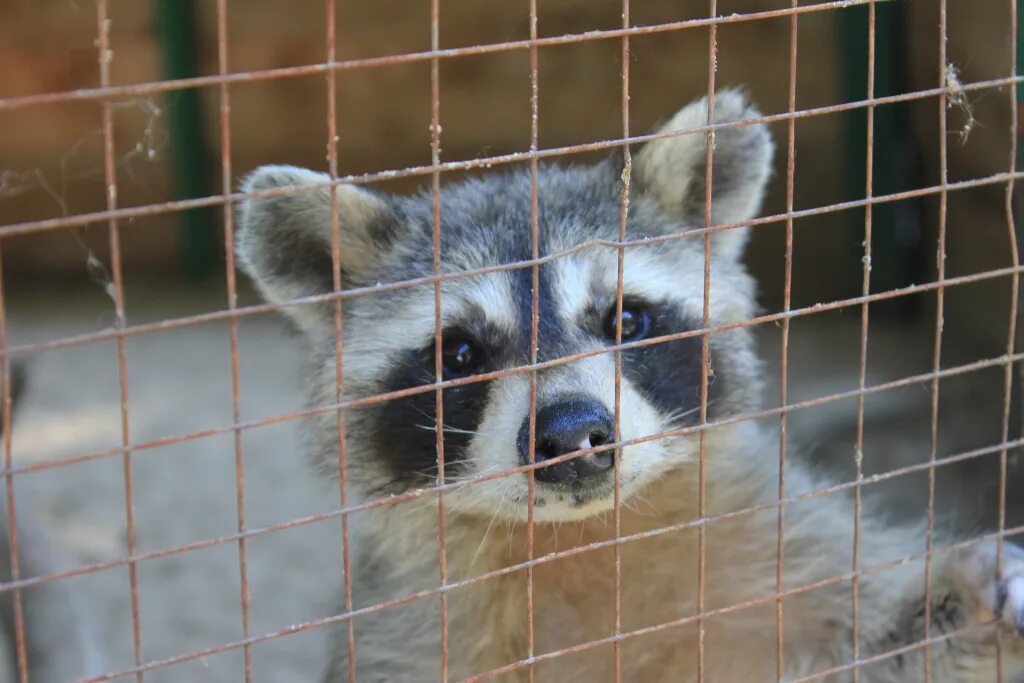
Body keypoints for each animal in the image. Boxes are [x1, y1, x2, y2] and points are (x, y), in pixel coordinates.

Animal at [235, 92, 1024, 683]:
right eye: (459, 353)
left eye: (624, 318)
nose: (571, 433)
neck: (582, 537)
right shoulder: (406, 630)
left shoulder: (782, 551)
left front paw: (964, 601)